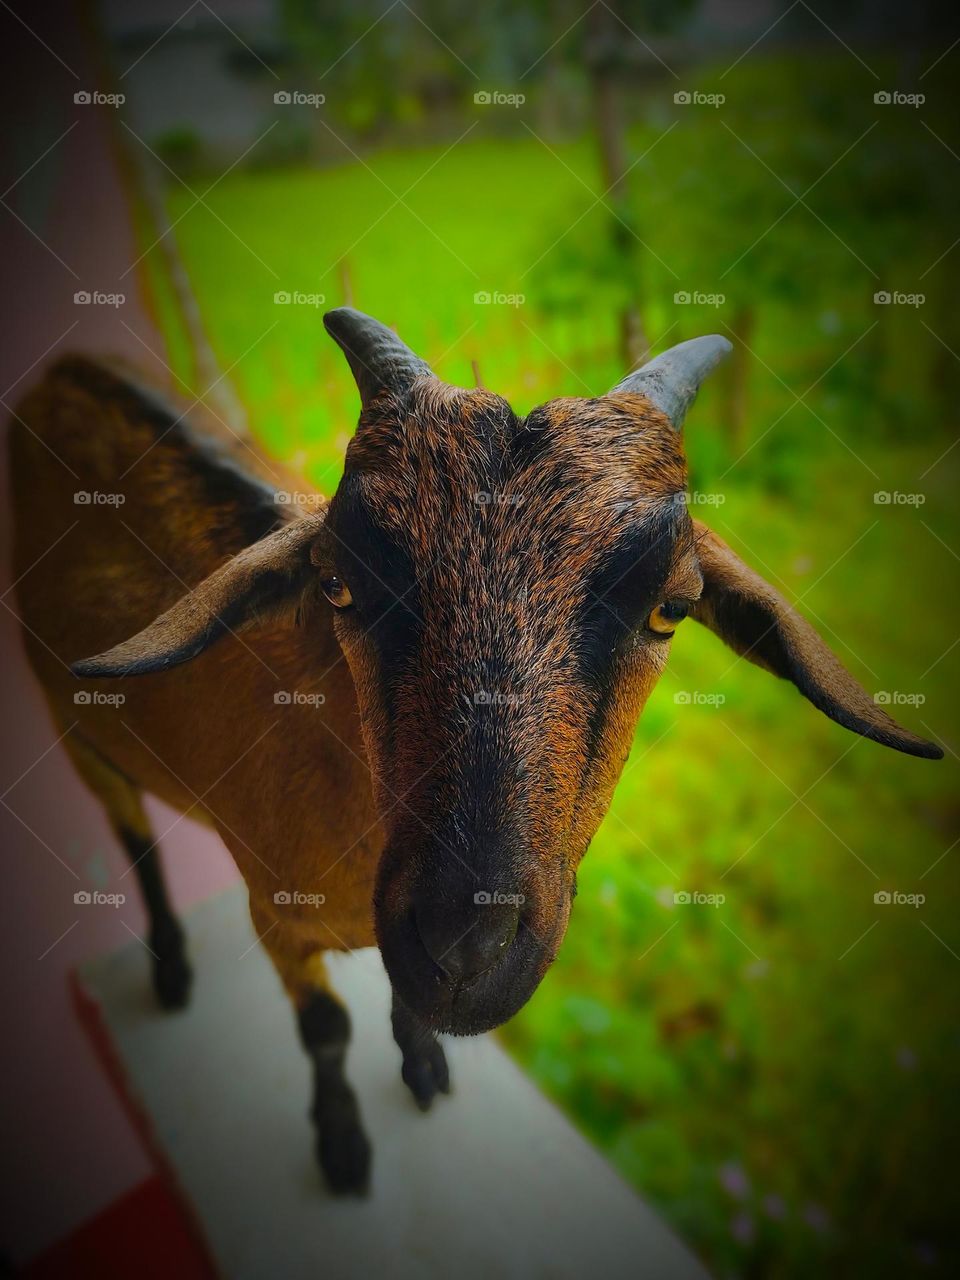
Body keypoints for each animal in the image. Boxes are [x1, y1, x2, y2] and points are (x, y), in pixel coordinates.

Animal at [9, 308, 941, 1194]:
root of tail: (63, 368)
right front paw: (343, 1147)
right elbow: (325, 1031)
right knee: (131, 834)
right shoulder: (272, 913)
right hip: (70, 727)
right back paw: (170, 969)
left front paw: (423, 1066)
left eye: (670, 609)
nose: (465, 946)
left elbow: (401, 993)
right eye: (337, 584)